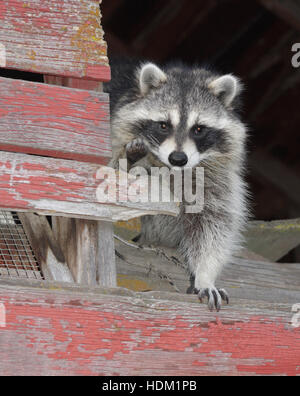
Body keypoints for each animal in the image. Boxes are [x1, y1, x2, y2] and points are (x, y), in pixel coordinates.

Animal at [104, 59, 247, 312]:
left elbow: (214, 224)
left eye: (199, 129)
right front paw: (129, 161)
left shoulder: (218, 178)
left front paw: (205, 276)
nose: (178, 158)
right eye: (163, 125)